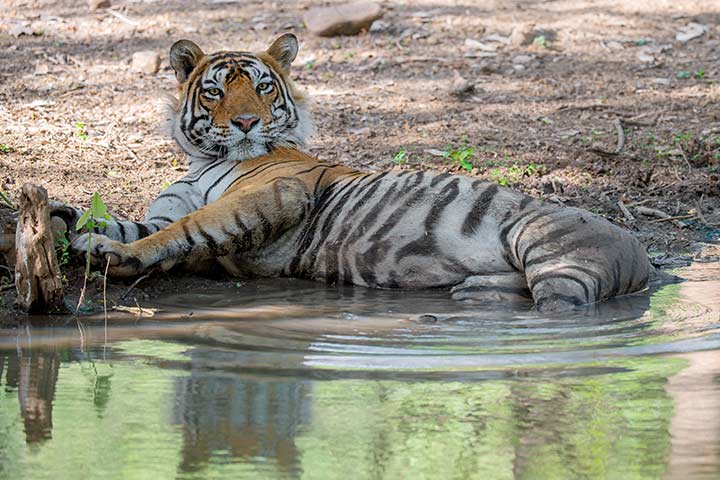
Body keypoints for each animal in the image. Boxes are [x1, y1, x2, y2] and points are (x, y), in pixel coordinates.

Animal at [50, 33, 656, 312]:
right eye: (217, 91)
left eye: (263, 88)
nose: (246, 122)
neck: (205, 160)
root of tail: (644, 256)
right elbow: (131, 222)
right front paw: (63, 220)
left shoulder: (277, 195)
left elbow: (184, 230)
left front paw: (116, 256)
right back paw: (473, 290)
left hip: (553, 251)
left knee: (558, 306)